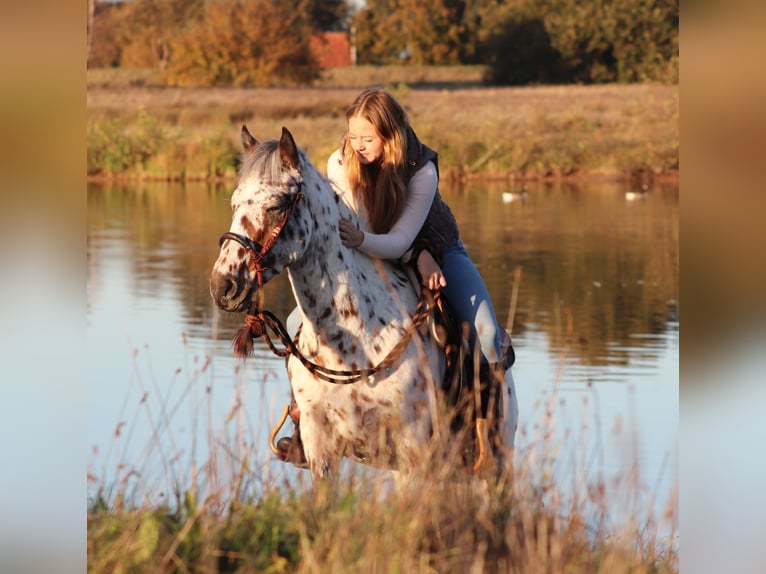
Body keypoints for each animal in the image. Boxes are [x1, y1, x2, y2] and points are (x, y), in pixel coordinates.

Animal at [212, 126, 516, 486]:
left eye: (276, 204)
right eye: (234, 203)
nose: (223, 286)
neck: (355, 340)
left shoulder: (412, 445)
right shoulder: (320, 445)